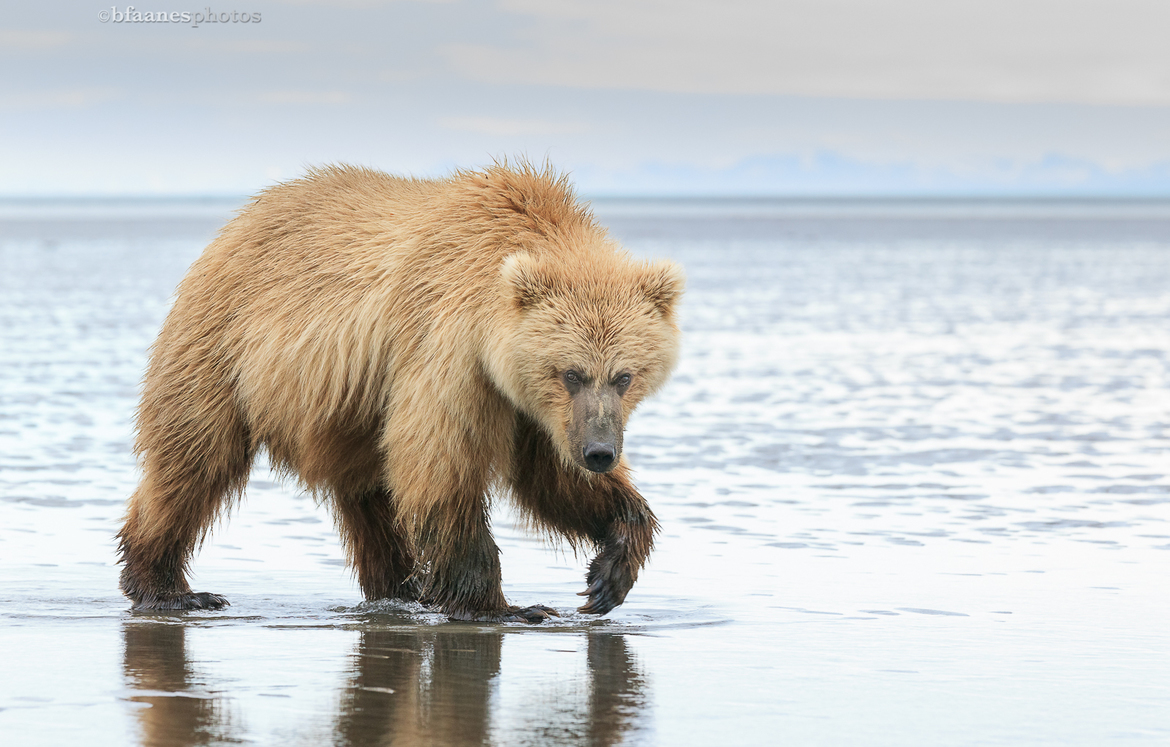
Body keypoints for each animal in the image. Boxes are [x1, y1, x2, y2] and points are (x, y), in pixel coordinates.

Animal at [116, 161, 684, 622]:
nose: (600, 453)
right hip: (222, 348)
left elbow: (551, 479)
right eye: (570, 373)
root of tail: (236, 222)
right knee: (193, 460)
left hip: (349, 410)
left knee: (369, 491)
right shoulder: (451, 355)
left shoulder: (531, 411)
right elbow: (440, 470)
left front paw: (609, 573)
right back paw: (169, 588)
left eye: (625, 376)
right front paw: (507, 606)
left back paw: (401, 588)